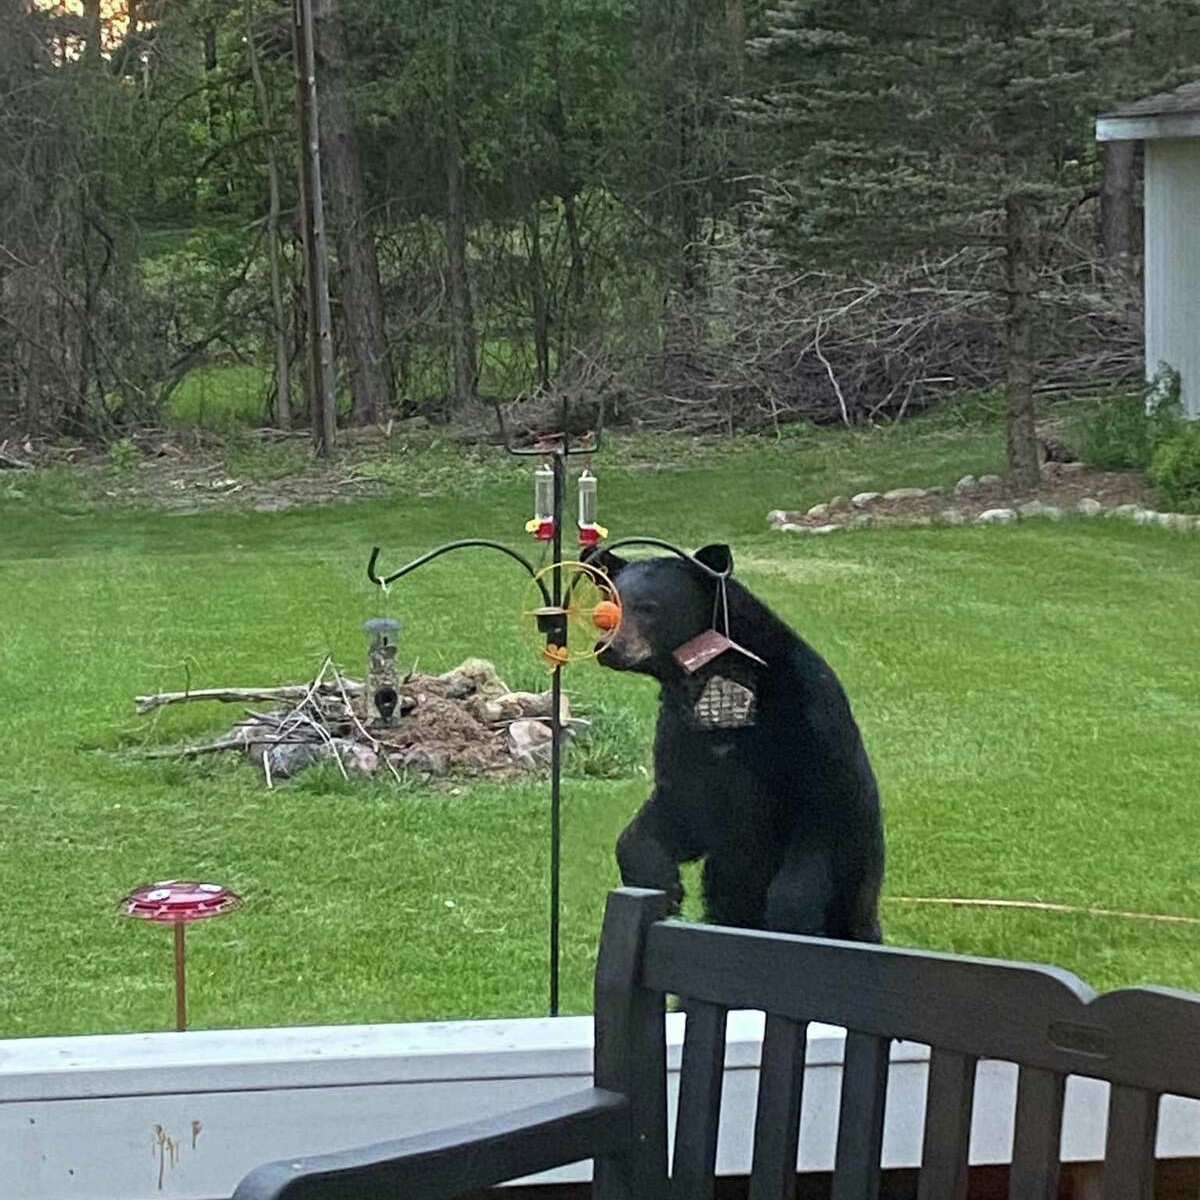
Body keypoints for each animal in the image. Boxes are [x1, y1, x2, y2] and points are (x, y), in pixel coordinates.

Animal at [589, 542, 884, 942]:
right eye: (610, 601)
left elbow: (819, 838)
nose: (608, 647)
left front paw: (792, 917)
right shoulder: (686, 737)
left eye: (649, 607)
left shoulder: (810, 730)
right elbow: (677, 812)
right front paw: (663, 885)